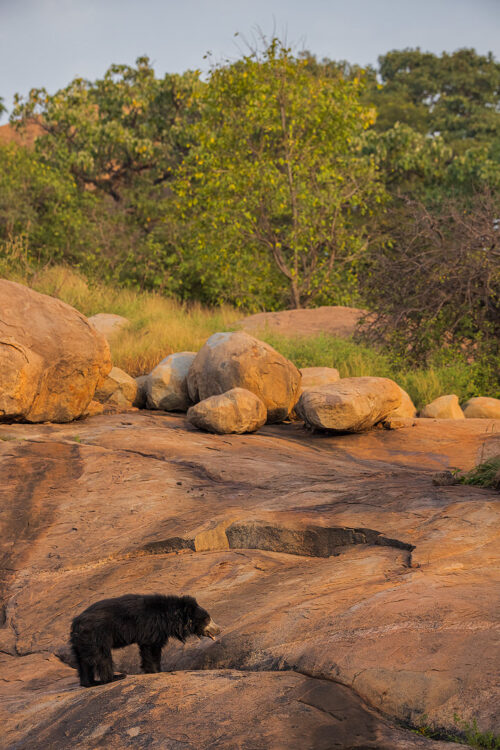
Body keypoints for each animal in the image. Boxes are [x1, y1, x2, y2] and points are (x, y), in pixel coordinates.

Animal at [69, 596, 220, 692]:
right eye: (207, 619)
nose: (219, 629)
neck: (171, 617)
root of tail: (76, 623)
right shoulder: (151, 626)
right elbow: (151, 648)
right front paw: (155, 670)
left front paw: (159, 670)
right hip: (97, 634)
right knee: (102, 656)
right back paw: (114, 677)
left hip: (81, 642)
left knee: (83, 661)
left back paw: (90, 683)